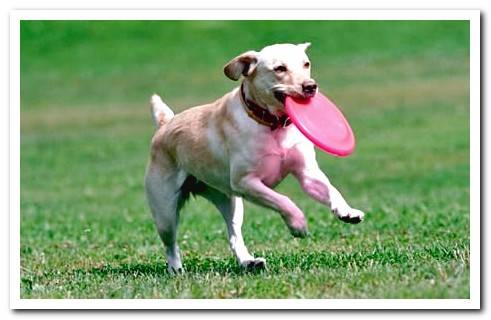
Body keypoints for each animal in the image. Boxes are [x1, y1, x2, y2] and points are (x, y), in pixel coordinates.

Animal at [144, 42, 364, 272]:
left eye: (306, 64)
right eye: (279, 68)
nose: (310, 86)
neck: (273, 126)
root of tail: (165, 124)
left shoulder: (307, 174)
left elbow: (330, 189)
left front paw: (347, 211)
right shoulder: (246, 183)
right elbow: (283, 200)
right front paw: (298, 224)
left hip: (230, 202)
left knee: (234, 235)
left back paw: (249, 261)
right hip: (165, 210)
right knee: (170, 243)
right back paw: (176, 269)